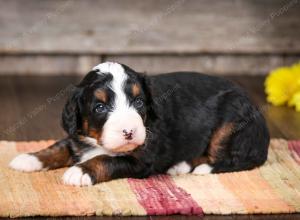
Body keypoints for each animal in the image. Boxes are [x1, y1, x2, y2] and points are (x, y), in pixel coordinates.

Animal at [9, 61, 270, 186]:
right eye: (100, 107)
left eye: (138, 102)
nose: (129, 131)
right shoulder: (78, 135)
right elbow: (61, 146)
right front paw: (29, 158)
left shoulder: (141, 159)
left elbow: (106, 160)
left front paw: (79, 171)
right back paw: (182, 165)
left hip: (231, 122)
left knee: (234, 159)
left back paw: (194, 167)